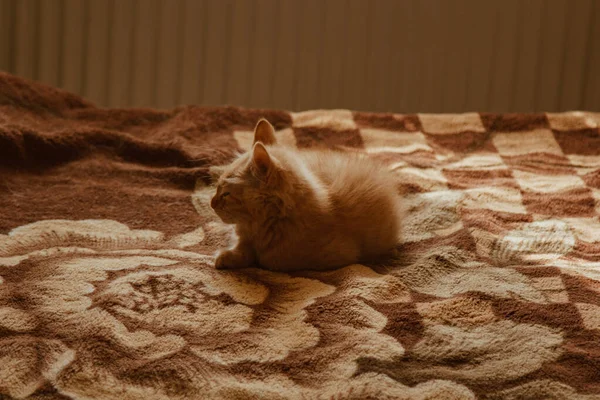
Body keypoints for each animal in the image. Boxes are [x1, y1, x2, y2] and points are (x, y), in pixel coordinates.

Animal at [211, 117, 404, 270]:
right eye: (217, 188)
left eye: (226, 194)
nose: (211, 204)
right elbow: (245, 249)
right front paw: (228, 257)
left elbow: (266, 259)